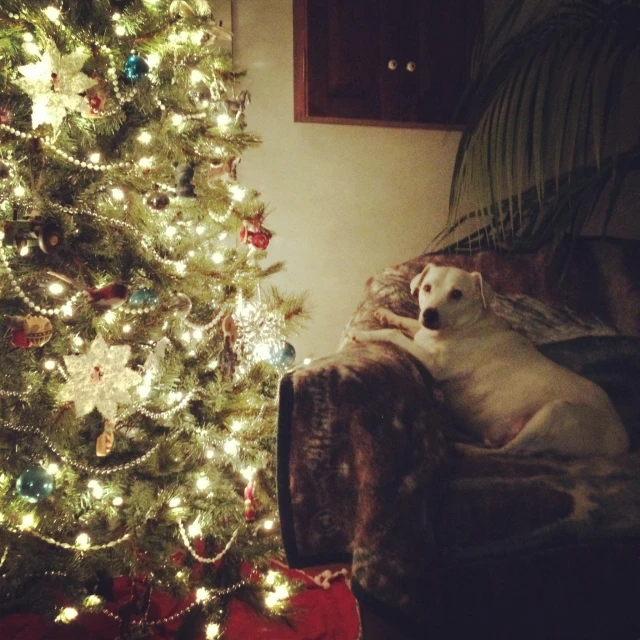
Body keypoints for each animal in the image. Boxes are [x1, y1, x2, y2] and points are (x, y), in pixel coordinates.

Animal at [348, 264, 628, 460]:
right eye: (427, 287)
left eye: (457, 294)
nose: (429, 314)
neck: (465, 326)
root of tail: (621, 440)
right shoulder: (422, 333)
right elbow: (408, 324)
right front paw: (385, 313)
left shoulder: (433, 363)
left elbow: (395, 335)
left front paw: (362, 334)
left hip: (555, 413)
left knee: (511, 452)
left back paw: (464, 449)